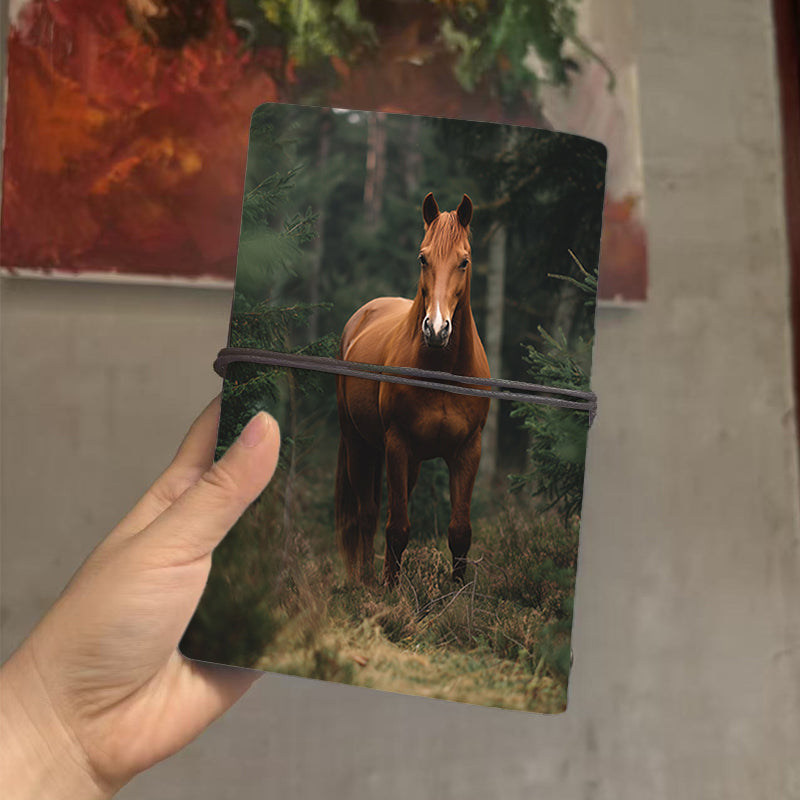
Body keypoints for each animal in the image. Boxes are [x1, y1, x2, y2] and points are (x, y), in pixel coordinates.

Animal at [335, 192, 490, 585]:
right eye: (423, 258)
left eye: (464, 261)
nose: (436, 329)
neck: (441, 371)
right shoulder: (397, 444)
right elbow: (397, 528)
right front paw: (391, 591)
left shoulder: (468, 451)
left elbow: (460, 531)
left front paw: (456, 594)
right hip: (359, 444)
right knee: (367, 513)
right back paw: (365, 580)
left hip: (412, 461)